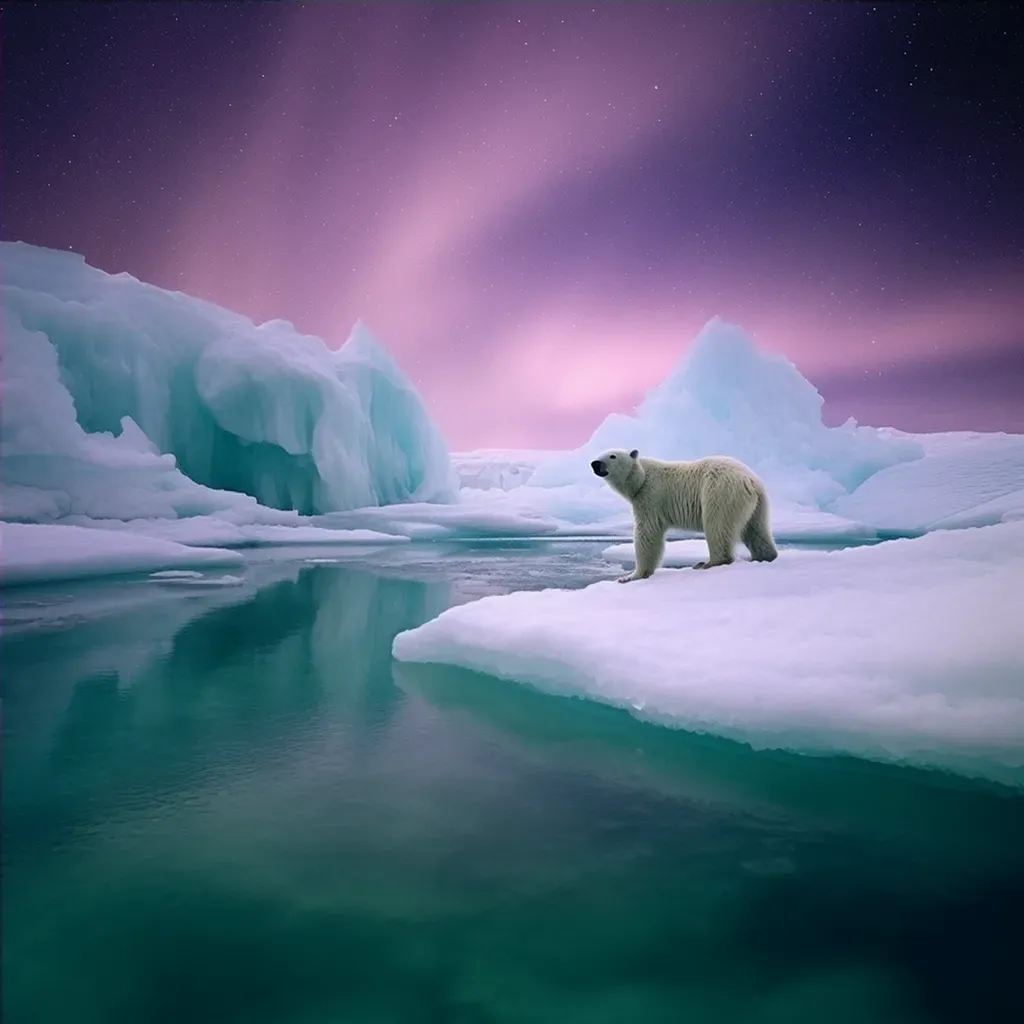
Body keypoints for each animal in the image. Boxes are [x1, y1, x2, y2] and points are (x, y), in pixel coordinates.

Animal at [589, 450, 778, 585]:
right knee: (756, 530)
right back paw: (764, 556)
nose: (595, 463)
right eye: (600, 454)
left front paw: (631, 576)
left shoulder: (650, 497)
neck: (641, 478)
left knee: (717, 525)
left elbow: (647, 533)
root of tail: (750, 480)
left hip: (720, 491)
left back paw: (707, 563)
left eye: (612, 455)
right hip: (758, 504)